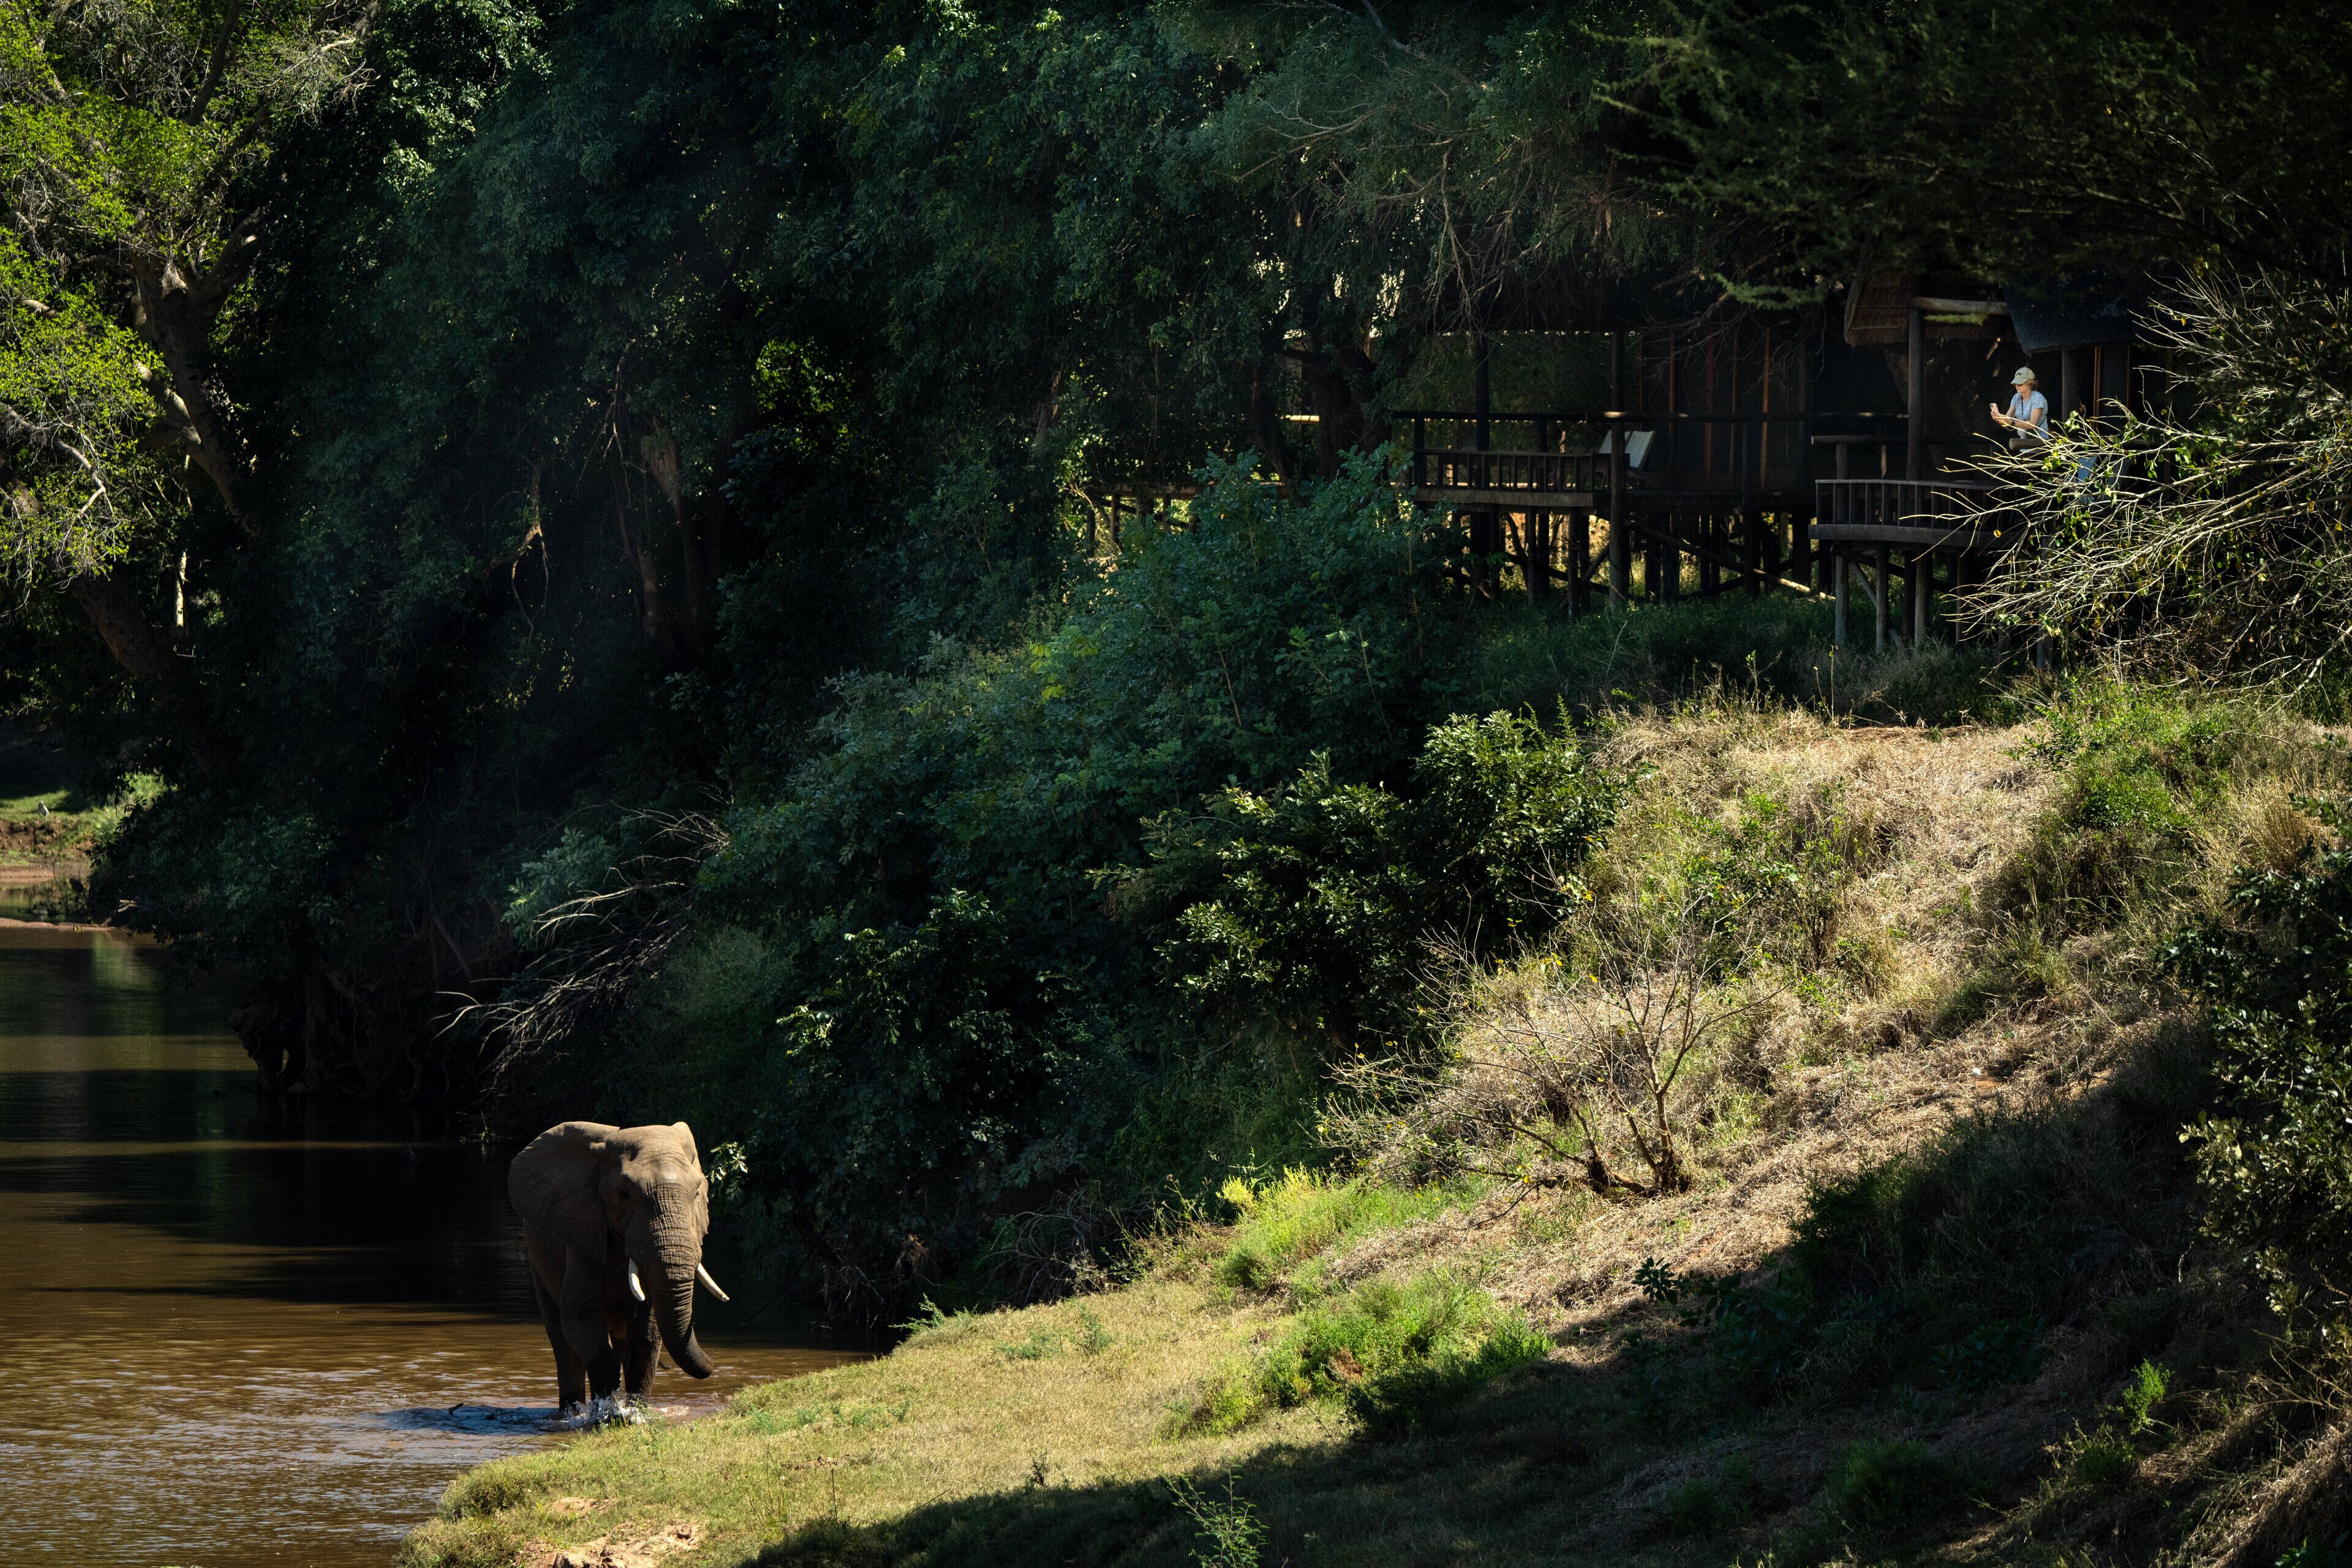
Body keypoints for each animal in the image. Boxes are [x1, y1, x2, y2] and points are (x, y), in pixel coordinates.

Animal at [507, 1120, 732, 1412]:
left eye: (697, 1193)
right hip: (539, 1263)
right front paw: (608, 1412)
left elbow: (647, 1334)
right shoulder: (583, 1233)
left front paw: (636, 1413)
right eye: (624, 1194)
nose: (713, 1363)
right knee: (563, 1344)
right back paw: (571, 1412)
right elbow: (581, 1318)